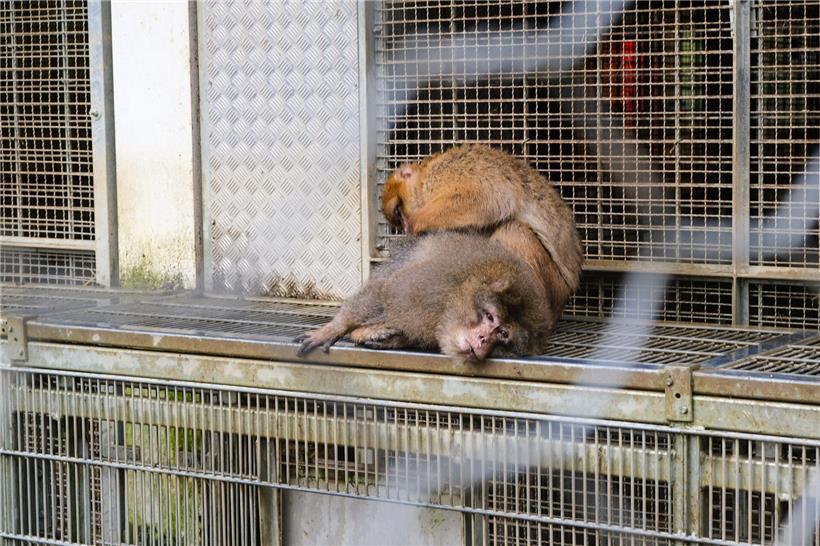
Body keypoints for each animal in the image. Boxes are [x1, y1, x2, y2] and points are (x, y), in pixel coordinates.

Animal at [294, 232, 554, 361]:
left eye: (502, 335)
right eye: (490, 318)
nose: (483, 340)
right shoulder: (426, 286)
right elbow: (383, 290)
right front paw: (334, 328)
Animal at [381, 143, 583, 324]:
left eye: (399, 212)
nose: (404, 227)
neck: (424, 177)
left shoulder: (446, 172)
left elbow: (489, 198)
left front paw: (415, 224)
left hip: (554, 288)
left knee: (514, 230)